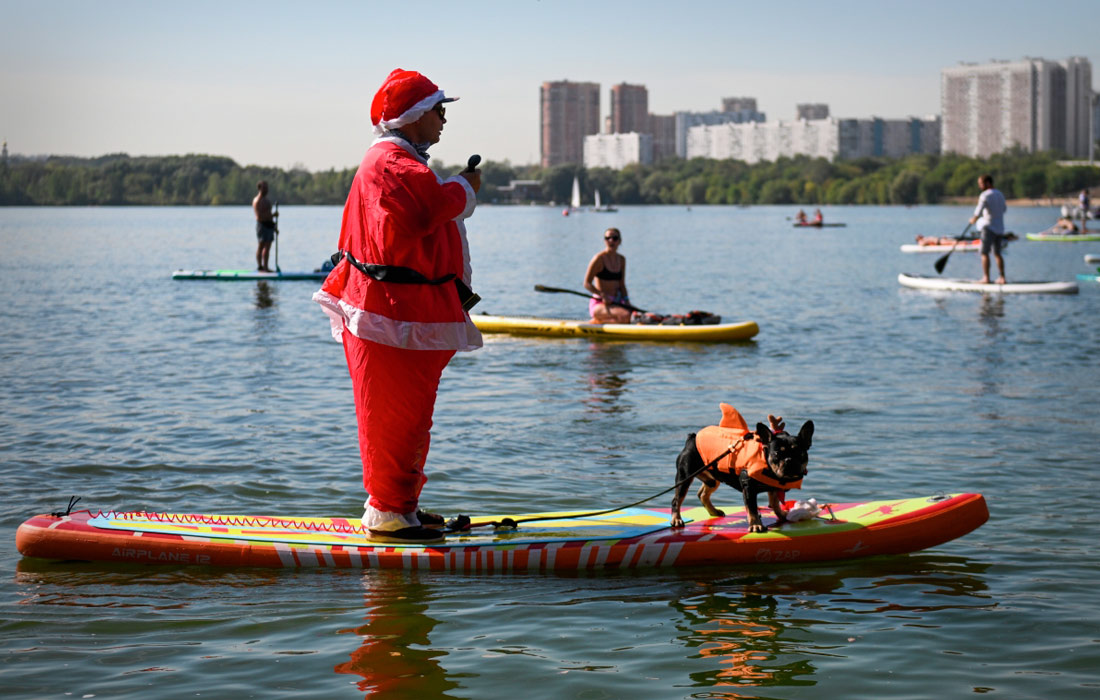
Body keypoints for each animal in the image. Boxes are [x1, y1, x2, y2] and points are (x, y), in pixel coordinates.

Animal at [664, 405, 814, 530]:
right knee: (677, 499)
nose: (789, 460)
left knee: (703, 494)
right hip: (685, 477)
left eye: (800, 453)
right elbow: (752, 507)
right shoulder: (748, 487)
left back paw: (714, 511)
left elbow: (774, 503)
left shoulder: (772, 488)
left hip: (713, 478)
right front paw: (756, 525)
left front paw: (782, 515)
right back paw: (677, 519)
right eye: (777, 453)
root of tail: (692, 439)